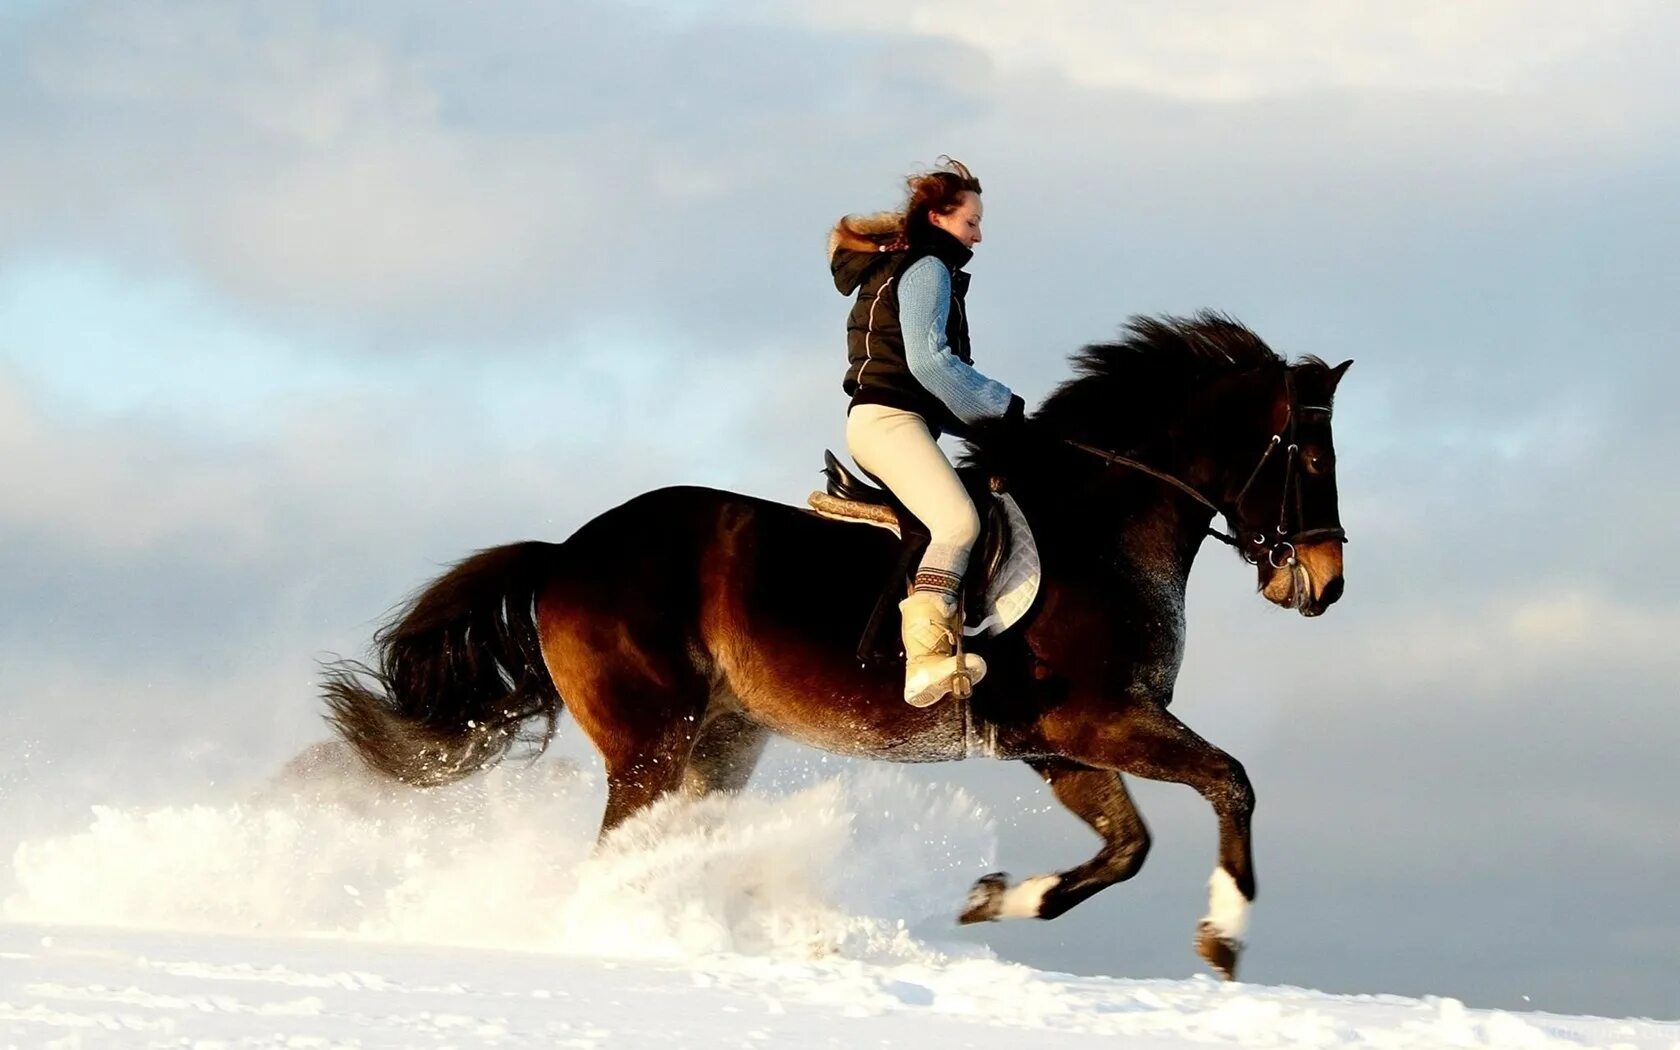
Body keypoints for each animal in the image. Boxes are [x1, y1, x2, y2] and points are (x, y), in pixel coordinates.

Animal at [320, 309, 1357, 974]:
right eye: (1311, 456)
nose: (1324, 582)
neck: (1103, 527)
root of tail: (565, 555)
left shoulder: (1055, 745)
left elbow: (1125, 848)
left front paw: (991, 898)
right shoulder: (1103, 720)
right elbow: (1230, 783)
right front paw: (1224, 937)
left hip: (722, 743)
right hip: (650, 742)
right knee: (619, 853)